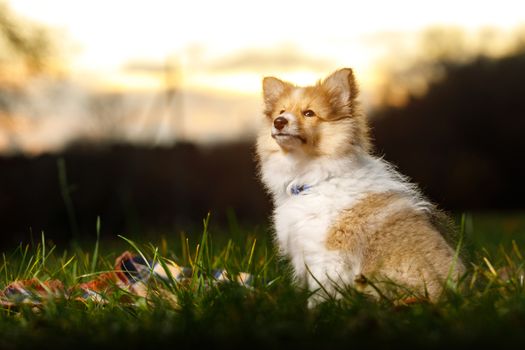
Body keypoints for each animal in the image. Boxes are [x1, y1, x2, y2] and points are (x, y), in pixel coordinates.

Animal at [256, 68, 464, 304]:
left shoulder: (327, 255)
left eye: (309, 113)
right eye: (281, 111)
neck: (316, 178)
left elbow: (319, 294)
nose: (279, 122)